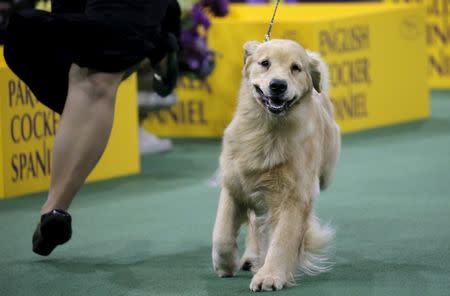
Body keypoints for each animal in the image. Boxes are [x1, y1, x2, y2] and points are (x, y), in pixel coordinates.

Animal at [211, 39, 342, 292]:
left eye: (296, 68)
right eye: (265, 63)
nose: (278, 85)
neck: (267, 130)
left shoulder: (293, 196)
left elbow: (282, 241)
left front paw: (269, 276)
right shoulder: (234, 185)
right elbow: (221, 234)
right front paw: (225, 264)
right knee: (255, 223)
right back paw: (250, 257)